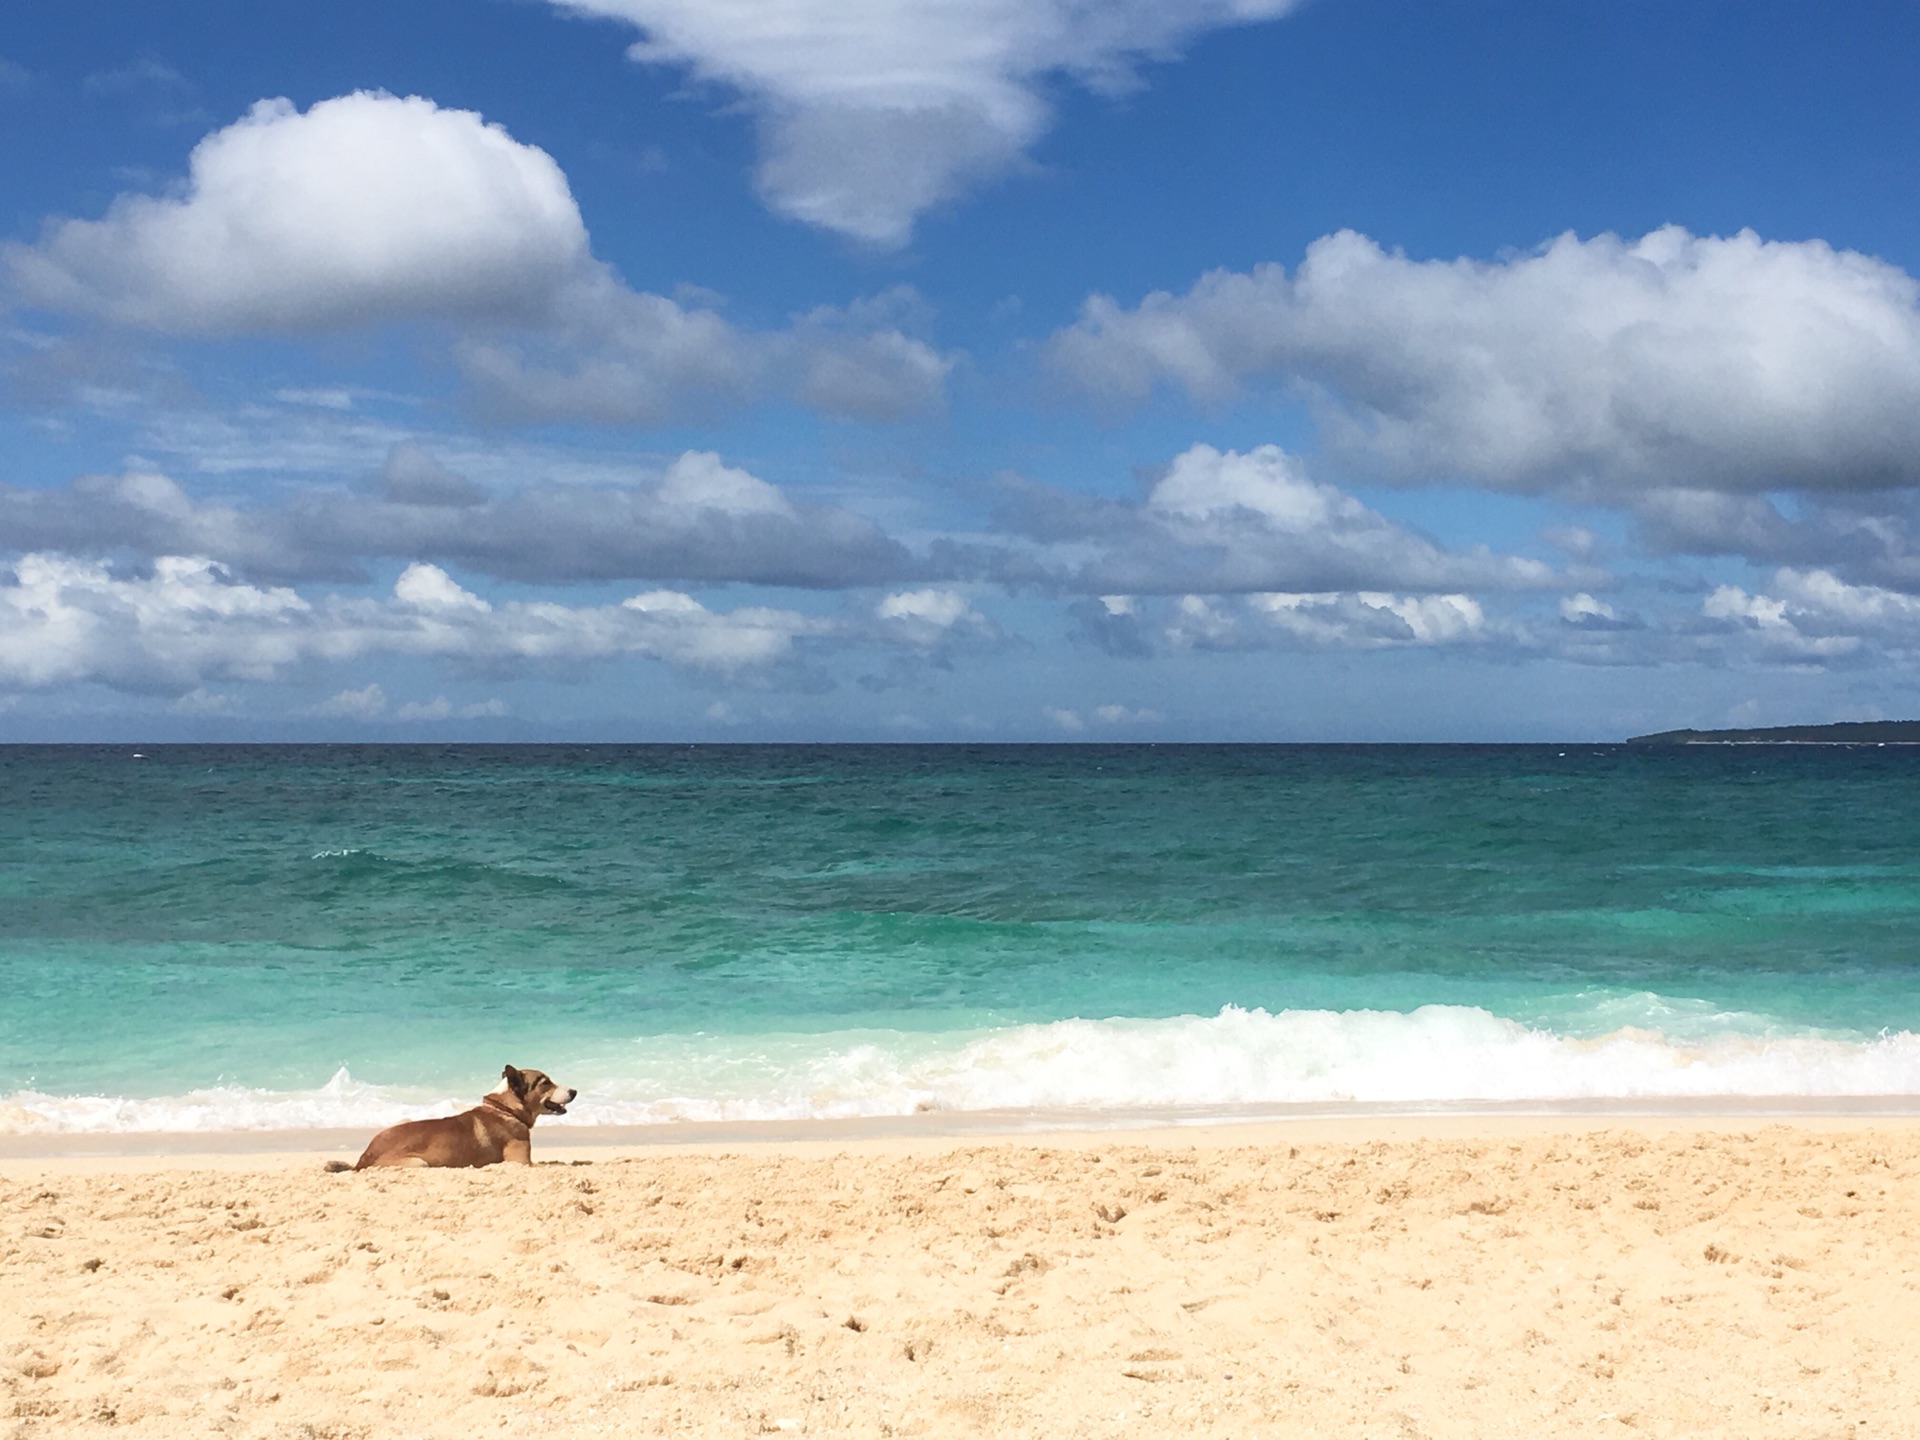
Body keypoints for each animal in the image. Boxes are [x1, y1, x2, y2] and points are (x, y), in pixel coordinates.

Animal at [345, 1059, 572, 1175]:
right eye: (545, 1083)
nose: (575, 1091)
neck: (505, 1109)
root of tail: (364, 1157)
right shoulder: (521, 1162)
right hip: (419, 1163)